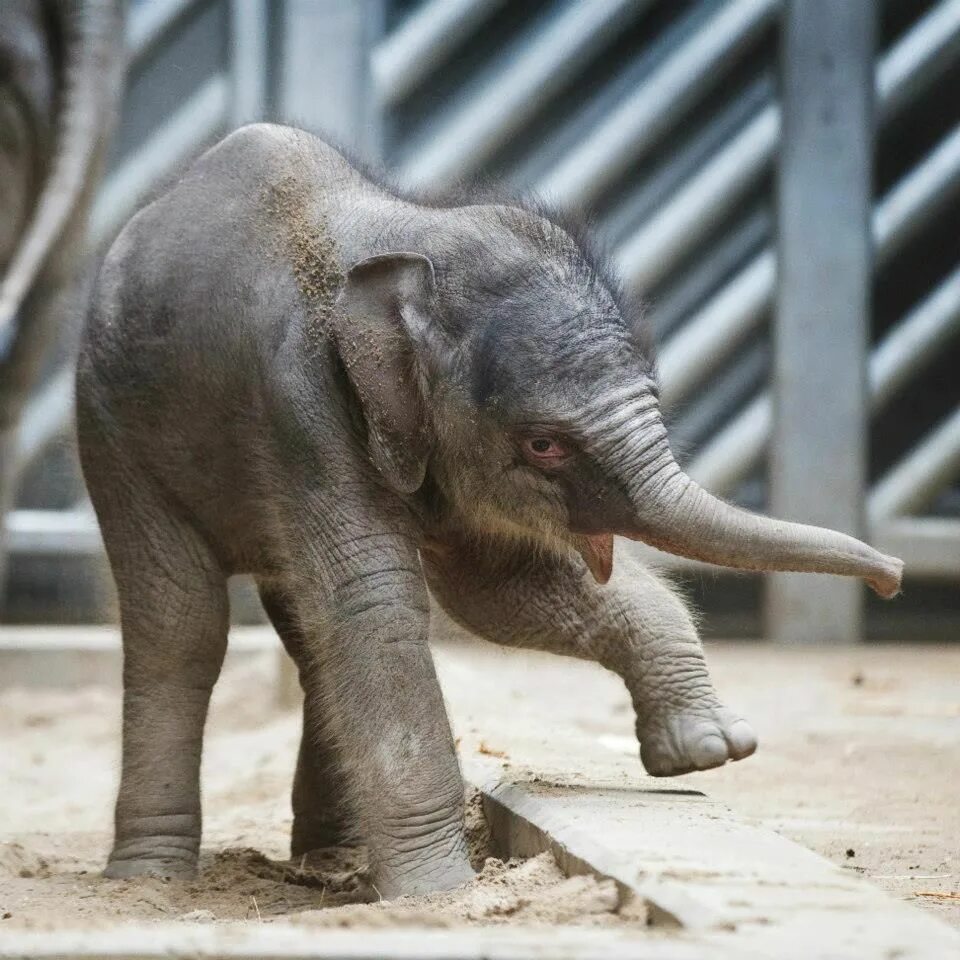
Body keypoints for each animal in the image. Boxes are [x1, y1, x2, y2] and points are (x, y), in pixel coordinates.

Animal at [75, 124, 900, 896]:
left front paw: (707, 750)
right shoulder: (298, 406)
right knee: (180, 625)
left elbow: (498, 591)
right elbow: (378, 607)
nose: (890, 576)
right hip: (113, 430)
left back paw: (329, 861)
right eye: (544, 445)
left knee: (305, 640)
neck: (403, 241)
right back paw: (149, 880)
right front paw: (438, 894)